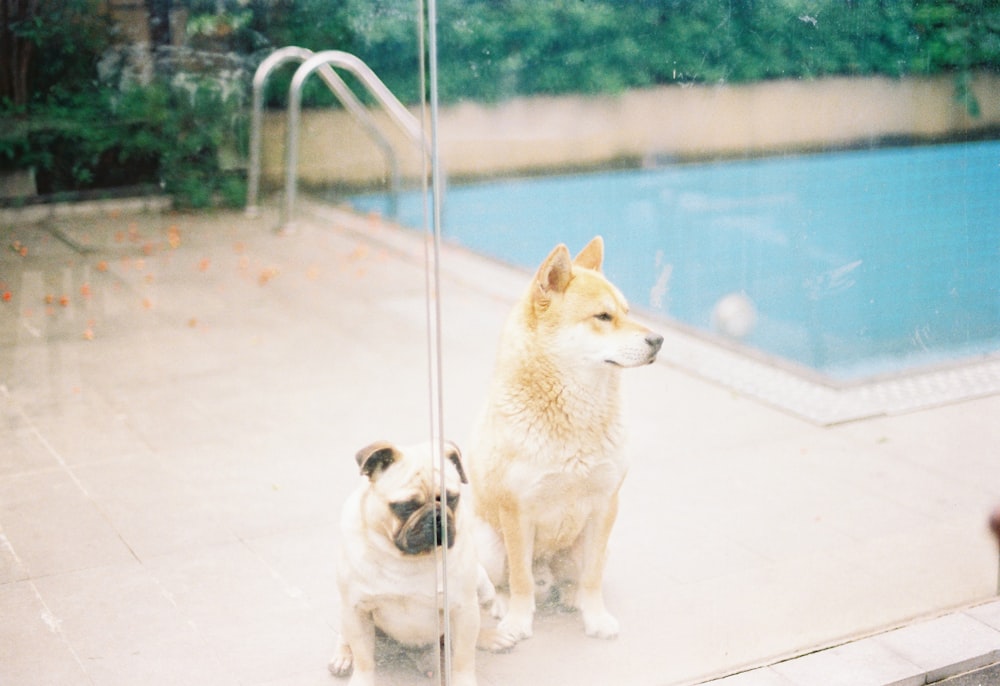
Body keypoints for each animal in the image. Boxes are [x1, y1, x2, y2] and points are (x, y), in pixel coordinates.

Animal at [330, 440, 482, 686]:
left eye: (451, 499)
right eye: (406, 506)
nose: (437, 517)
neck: (408, 560)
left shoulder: (464, 611)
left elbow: (462, 659)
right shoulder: (356, 610)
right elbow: (364, 659)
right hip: (347, 613)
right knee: (346, 637)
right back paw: (343, 656)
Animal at [468, 235, 664, 644]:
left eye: (626, 311)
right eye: (603, 317)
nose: (658, 340)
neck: (576, 419)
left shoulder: (605, 505)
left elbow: (592, 578)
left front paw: (595, 617)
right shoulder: (516, 512)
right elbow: (521, 579)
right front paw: (519, 620)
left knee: (578, 576)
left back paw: (572, 596)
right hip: (488, 542)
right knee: (507, 580)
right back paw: (504, 604)